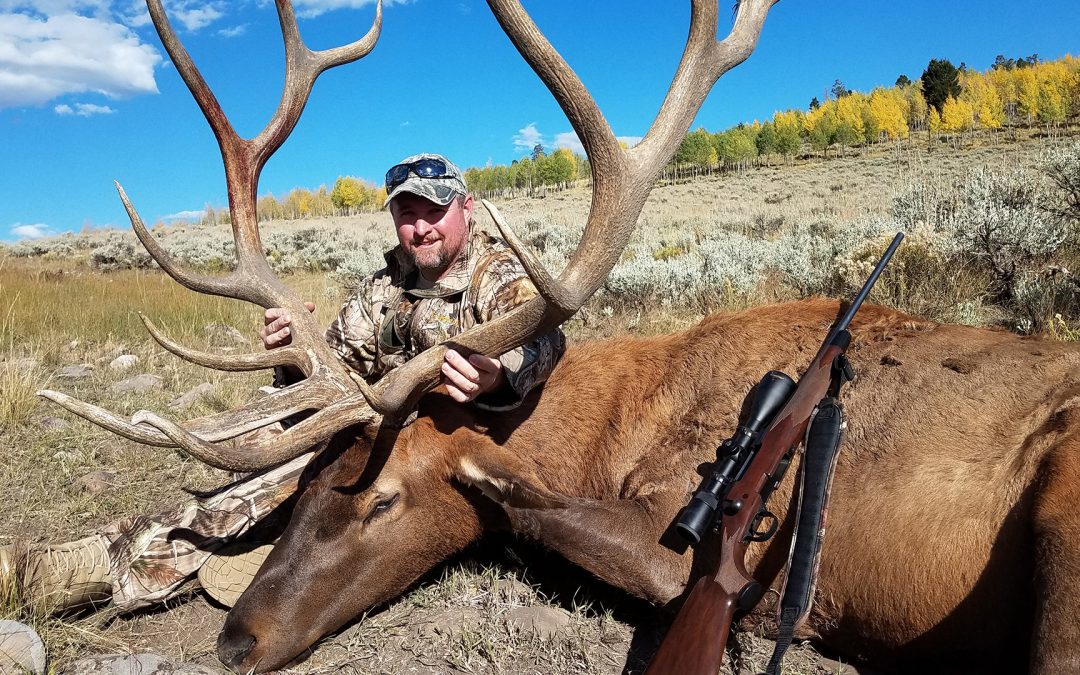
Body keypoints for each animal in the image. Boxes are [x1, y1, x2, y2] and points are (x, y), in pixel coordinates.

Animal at [37, 0, 1080, 673]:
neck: (608, 433)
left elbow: (553, 519)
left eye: (381, 500)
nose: (235, 641)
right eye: (306, 493)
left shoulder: (731, 567)